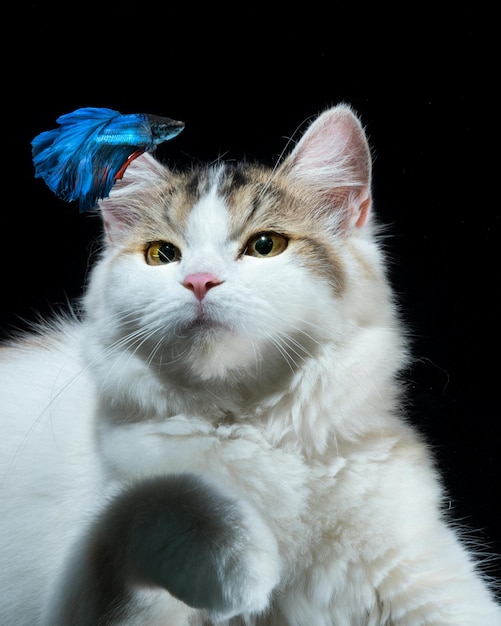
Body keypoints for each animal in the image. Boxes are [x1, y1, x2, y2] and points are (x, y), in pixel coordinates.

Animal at [0, 105, 500, 620]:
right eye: (162, 254)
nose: (199, 281)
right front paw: (242, 563)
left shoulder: (429, 576)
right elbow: (157, 495)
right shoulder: (89, 592)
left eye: (264, 246)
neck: (251, 428)